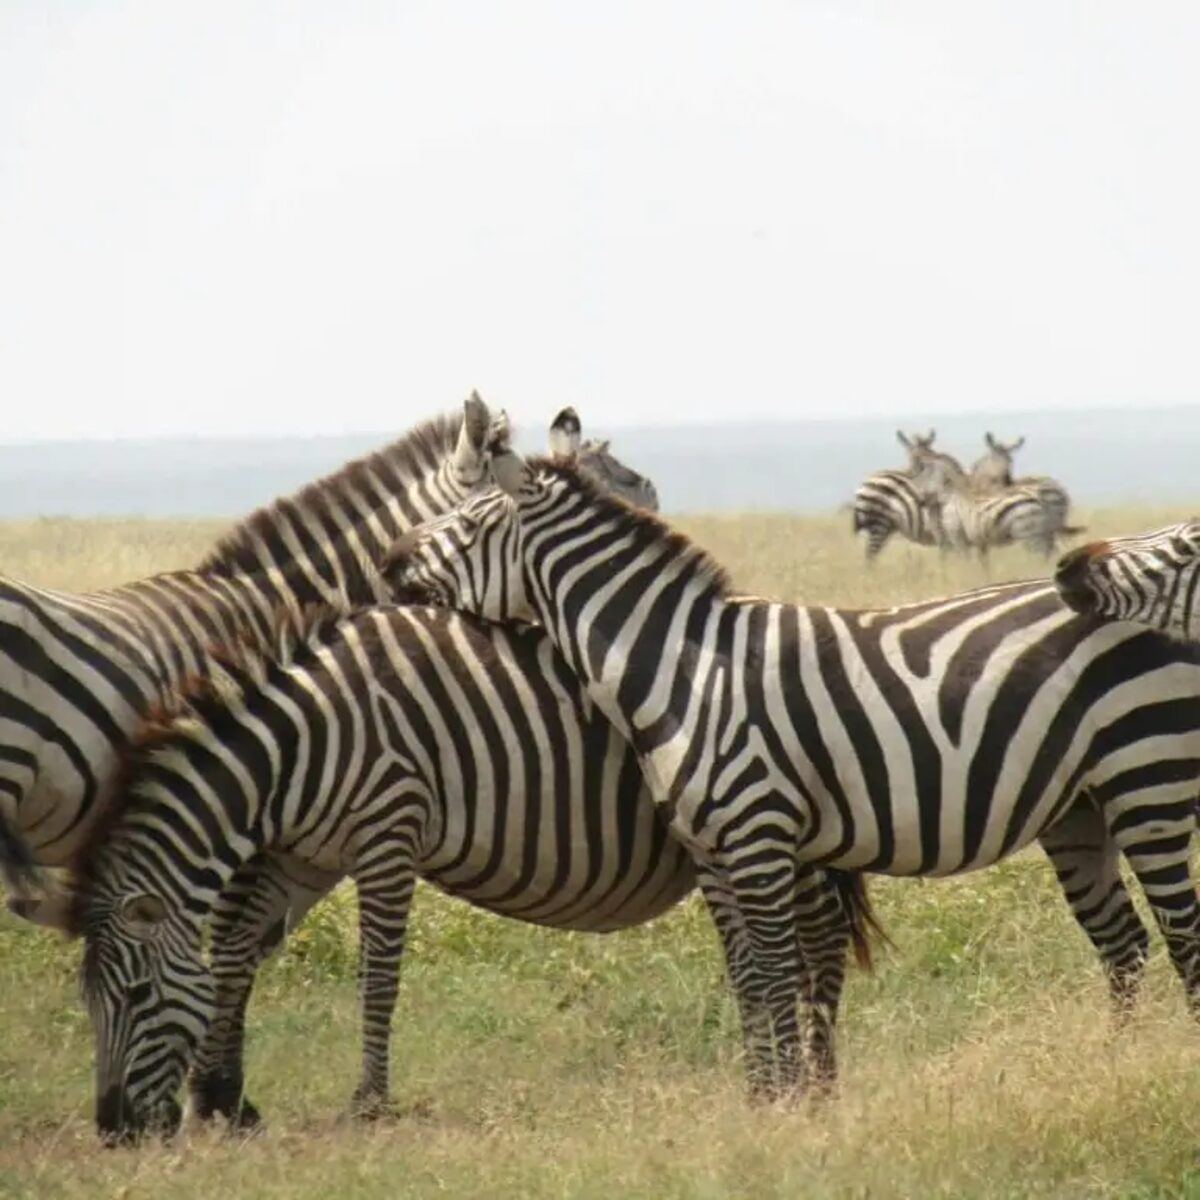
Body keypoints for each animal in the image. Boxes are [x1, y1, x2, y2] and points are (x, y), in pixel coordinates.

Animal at [11, 602, 877, 1139]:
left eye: (135, 995)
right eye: (87, 1001)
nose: (115, 1133)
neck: (295, 746)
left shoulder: (387, 831)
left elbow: (377, 978)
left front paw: (367, 1103)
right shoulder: (301, 857)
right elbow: (232, 955)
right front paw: (223, 1098)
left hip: (781, 831)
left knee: (818, 943)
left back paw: (819, 1085)